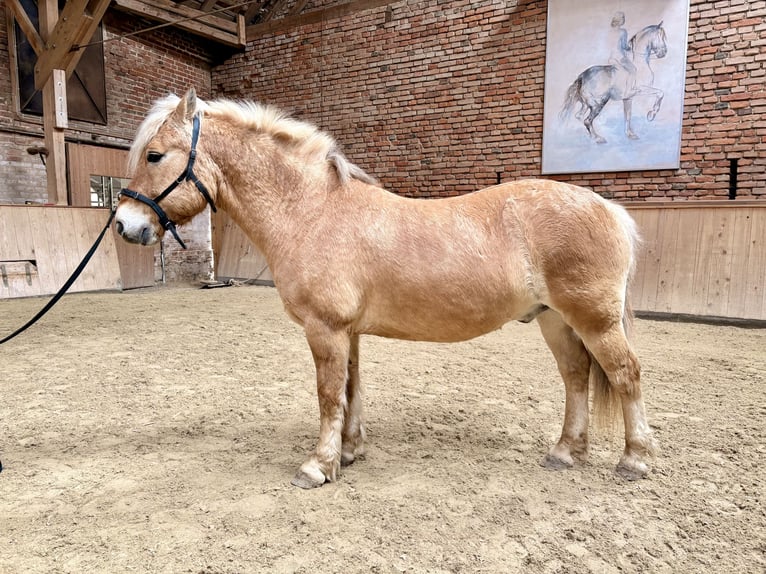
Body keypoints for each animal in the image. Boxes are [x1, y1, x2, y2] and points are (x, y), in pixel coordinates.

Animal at [115, 89, 656, 488]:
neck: (311, 212)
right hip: (555, 320)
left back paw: (634, 460)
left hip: (594, 320)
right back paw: (565, 452)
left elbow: (328, 394)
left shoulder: (325, 329)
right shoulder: (347, 332)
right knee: (576, 378)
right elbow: (352, 389)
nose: (124, 225)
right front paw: (350, 452)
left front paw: (318, 466)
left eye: (155, 155)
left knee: (625, 375)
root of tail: (609, 207)